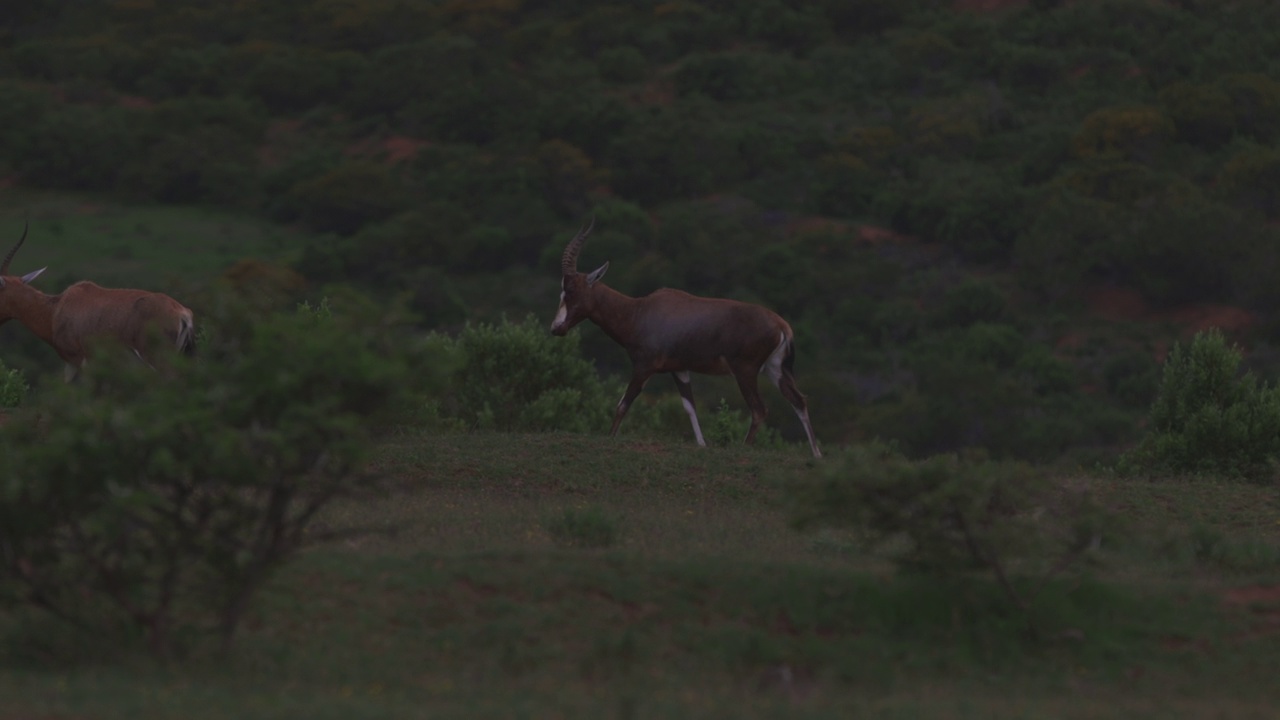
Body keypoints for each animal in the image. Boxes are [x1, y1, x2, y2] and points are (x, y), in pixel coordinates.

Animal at [550, 217, 819, 453]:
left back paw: (744, 448)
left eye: (570, 291)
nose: (556, 328)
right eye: (562, 291)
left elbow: (623, 404)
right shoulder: (679, 369)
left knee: (759, 409)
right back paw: (817, 455)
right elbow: (690, 407)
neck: (639, 311)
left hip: (746, 371)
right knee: (799, 400)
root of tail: (782, 325)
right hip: (775, 369)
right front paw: (702, 445)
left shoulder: (644, 367)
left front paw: (609, 438)